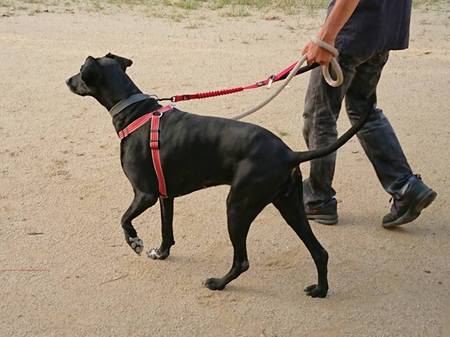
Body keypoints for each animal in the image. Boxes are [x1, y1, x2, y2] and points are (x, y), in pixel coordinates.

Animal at [66, 53, 370, 296]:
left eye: (81, 69)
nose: (67, 80)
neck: (133, 112)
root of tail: (289, 153)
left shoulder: (145, 194)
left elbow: (124, 220)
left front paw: (135, 242)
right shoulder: (165, 196)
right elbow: (167, 230)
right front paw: (161, 253)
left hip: (237, 206)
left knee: (242, 260)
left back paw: (219, 283)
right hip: (289, 206)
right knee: (320, 251)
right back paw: (320, 290)